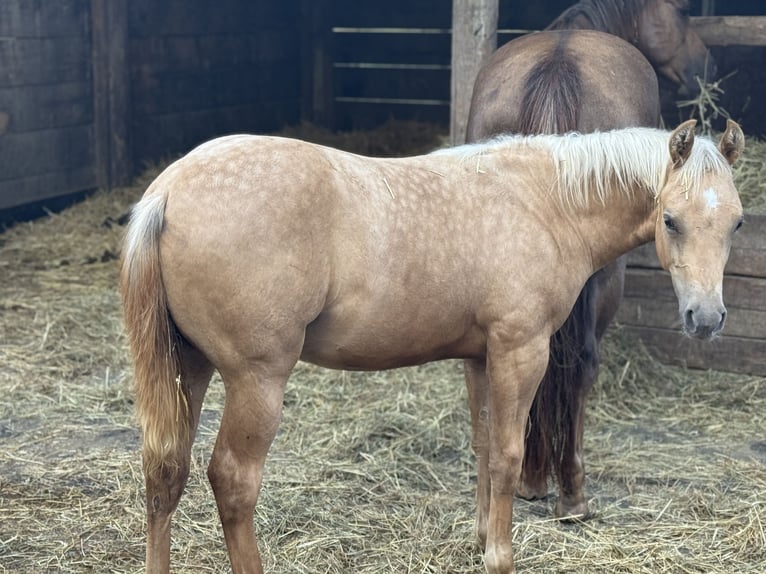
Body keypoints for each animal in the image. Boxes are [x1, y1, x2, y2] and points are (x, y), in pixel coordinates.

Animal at [121, 119, 744, 574]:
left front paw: (480, 538)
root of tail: (170, 189)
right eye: (671, 219)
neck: (541, 202)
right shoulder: (521, 351)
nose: (707, 318)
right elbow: (510, 453)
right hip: (257, 380)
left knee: (165, 472)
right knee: (232, 481)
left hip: (189, 367)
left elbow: (485, 447)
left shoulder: (481, 357)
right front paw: (500, 556)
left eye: (737, 223)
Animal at [464, 0, 715, 523]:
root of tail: (557, 69)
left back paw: (533, 478)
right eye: (681, 12)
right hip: (603, 278)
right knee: (580, 363)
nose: (706, 67)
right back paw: (572, 492)